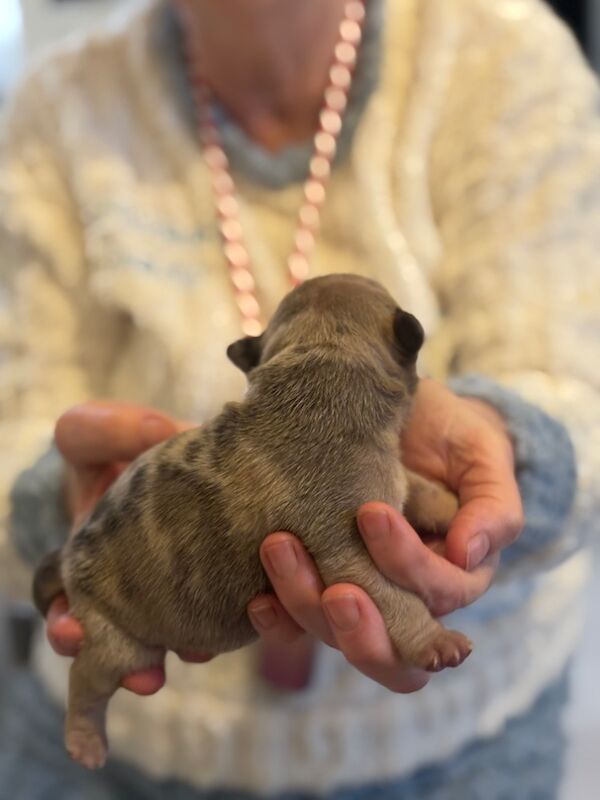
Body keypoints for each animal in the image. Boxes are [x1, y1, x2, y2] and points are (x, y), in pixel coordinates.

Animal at [32, 276, 472, 768]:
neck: (322, 354)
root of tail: (68, 559)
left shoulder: (382, 470)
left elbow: (413, 484)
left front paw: (446, 502)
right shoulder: (350, 553)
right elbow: (397, 597)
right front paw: (435, 640)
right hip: (116, 640)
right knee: (87, 680)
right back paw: (84, 738)